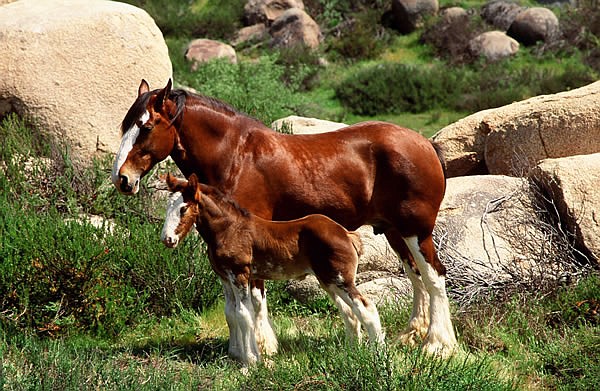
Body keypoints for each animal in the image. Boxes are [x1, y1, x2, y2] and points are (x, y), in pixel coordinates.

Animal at [112, 79, 458, 358]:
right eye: (124, 126)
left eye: (145, 126)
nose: (122, 179)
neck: (236, 156)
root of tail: (426, 144)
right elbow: (232, 308)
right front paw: (237, 351)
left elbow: (254, 300)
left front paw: (262, 349)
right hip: (394, 231)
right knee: (415, 276)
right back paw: (412, 336)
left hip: (416, 230)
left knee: (434, 277)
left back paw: (438, 344)